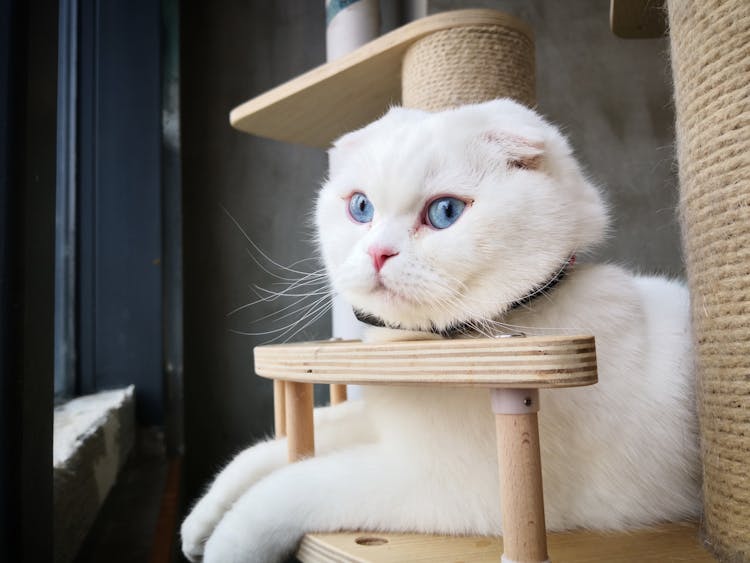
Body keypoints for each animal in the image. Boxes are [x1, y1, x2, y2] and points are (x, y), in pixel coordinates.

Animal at [179, 100, 704, 563]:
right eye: (361, 207)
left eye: (446, 212)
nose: (378, 253)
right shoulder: (382, 423)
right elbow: (273, 450)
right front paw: (200, 520)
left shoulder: (447, 485)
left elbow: (293, 485)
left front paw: (228, 544)